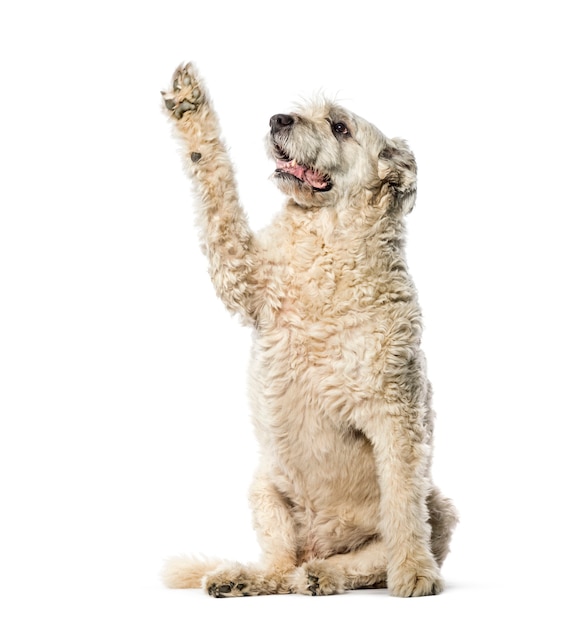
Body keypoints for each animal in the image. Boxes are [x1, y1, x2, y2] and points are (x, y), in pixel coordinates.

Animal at [160, 62, 456, 596]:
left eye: (340, 126)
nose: (278, 119)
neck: (326, 241)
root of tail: (318, 544)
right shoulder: (242, 271)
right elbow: (217, 193)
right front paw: (190, 103)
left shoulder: (398, 413)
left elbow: (402, 502)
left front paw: (416, 575)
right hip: (265, 488)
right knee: (280, 568)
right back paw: (243, 578)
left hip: (439, 507)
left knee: (368, 558)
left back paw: (328, 574)